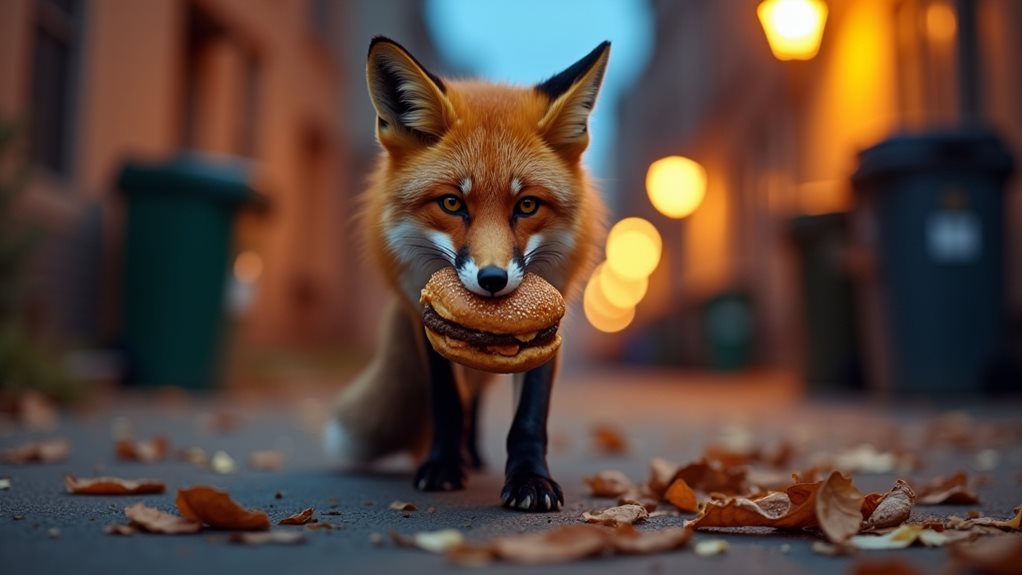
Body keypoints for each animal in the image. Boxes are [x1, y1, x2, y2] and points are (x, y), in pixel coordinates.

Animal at [325, 37, 609, 512]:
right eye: (452, 203)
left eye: (527, 205)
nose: (493, 280)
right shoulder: (423, 320)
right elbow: (446, 402)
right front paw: (442, 466)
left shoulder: (550, 320)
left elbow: (530, 416)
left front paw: (530, 479)